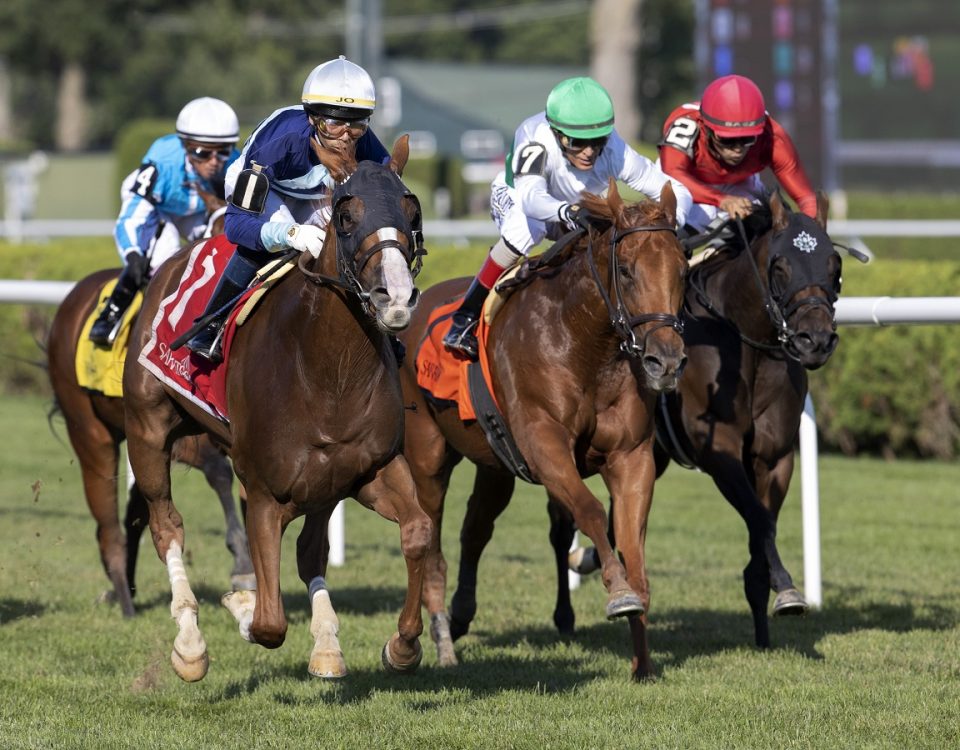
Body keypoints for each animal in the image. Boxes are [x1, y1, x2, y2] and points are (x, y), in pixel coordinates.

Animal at [124, 138, 432, 684]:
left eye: (411, 211)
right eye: (345, 215)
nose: (395, 298)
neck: (328, 372)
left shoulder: (370, 468)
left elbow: (417, 532)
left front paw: (401, 645)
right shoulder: (266, 492)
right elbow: (269, 622)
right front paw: (241, 605)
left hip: (323, 484)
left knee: (311, 551)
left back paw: (327, 644)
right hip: (148, 431)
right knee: (167, 526)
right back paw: (190, 644)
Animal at [400, 181, 688, 680]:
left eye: (683, 270)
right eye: (626, 270)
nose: (665, 361)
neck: (585, 344)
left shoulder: (632, 457)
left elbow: (631, 544)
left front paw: (642, 662)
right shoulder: (543, 443)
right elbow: (591, 510)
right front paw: (619, 593)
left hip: (493, 461)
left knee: (475, 528)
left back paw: (460, 615)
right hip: (428, 457)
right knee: (431, 539)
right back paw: (440, 639)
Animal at [560, 191, 844, 656]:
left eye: (834, 267)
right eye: (781, 266)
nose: (815, 341)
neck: (745, 347)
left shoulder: (775, 458)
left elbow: (761, 526)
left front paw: (765, 624)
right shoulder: (719, 453)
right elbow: (760, 520)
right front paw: (788, 590)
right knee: (559, 522)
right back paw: (564, 612)